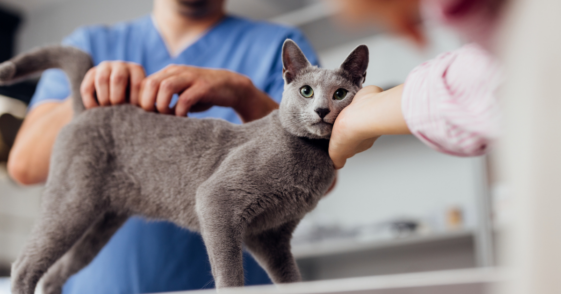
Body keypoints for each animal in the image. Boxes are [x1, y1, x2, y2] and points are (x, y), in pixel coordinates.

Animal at [0, 39, 370, 294]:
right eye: (306, 91)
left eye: (340, 94)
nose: (321, 110)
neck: (310, 157)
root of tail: (87, 109)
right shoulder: (217, 200)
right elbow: (229, 271)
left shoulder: (271, 236)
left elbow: (290, 278)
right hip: (73, 201)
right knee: (25, 264)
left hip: (100, 223)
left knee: (54, 272)